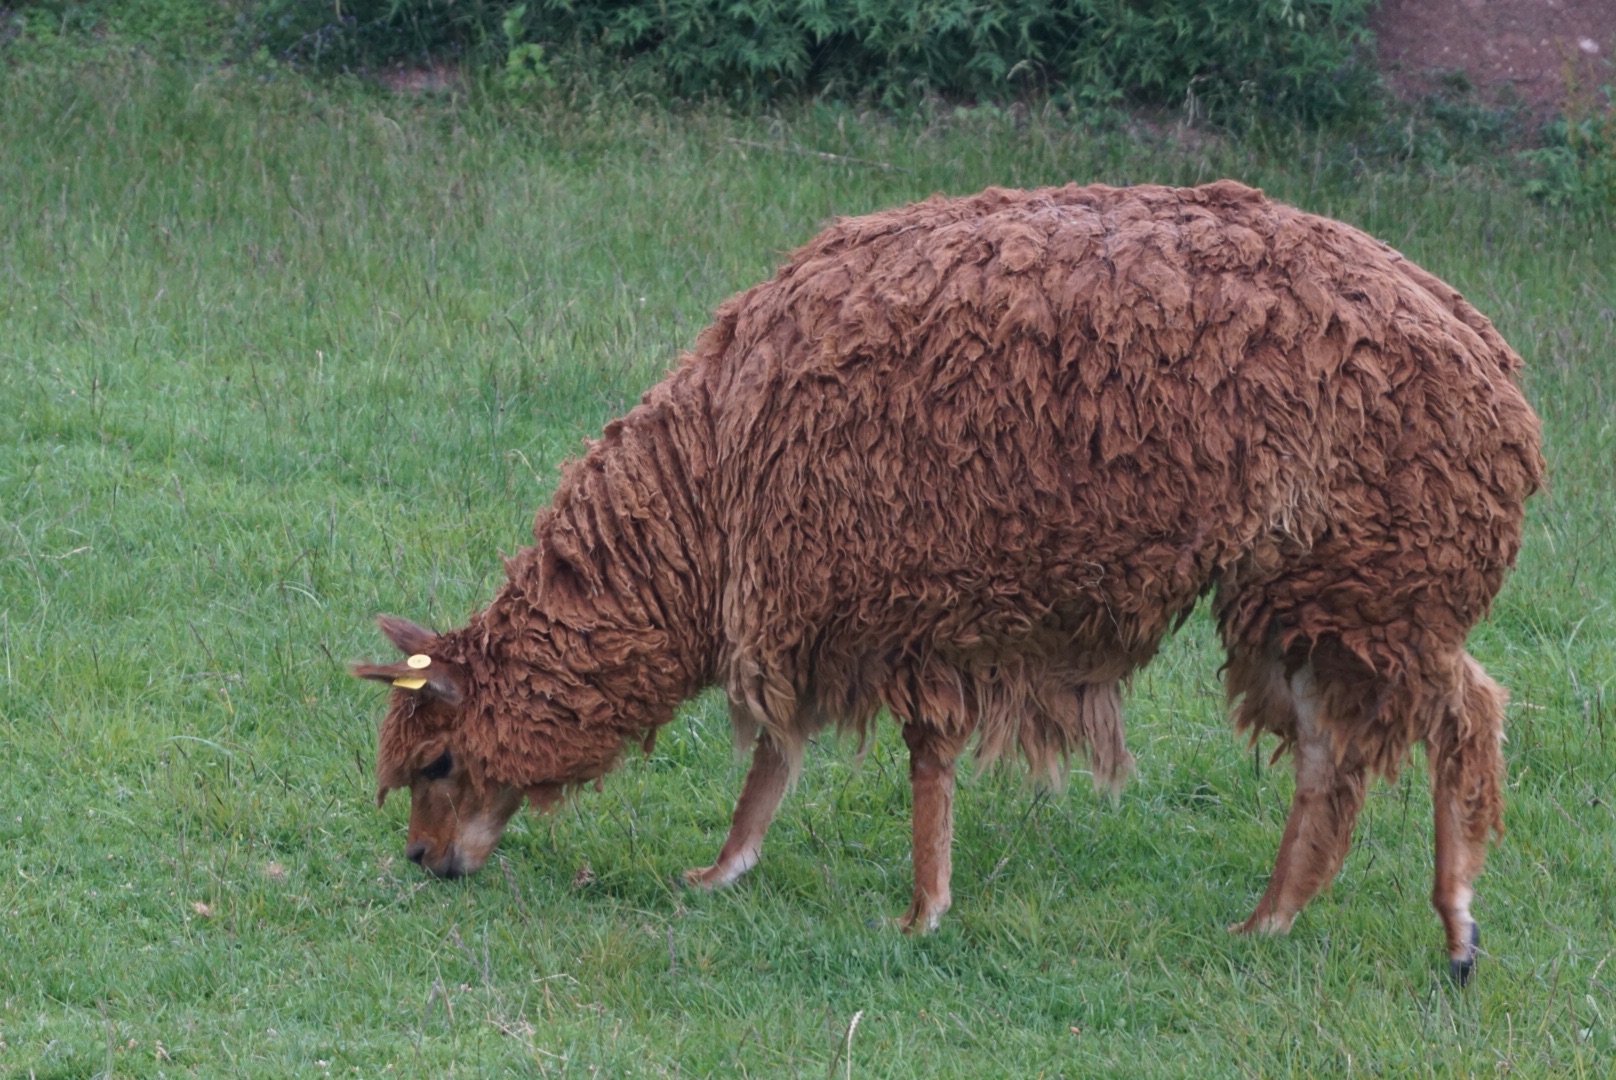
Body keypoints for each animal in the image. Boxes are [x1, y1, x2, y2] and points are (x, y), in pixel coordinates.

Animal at [353, 181, 1538, 982]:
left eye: (440, 762)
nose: (424, 859)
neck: (716, 478)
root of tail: (1494, 364)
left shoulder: (890, 599)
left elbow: (912, 759)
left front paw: (919, 913)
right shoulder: (819, 597)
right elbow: (780, 754)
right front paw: (722, 873)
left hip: (1369, 577)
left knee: (1456, 713)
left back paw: (1451, 929)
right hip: (1321, 592)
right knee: (1341, 754)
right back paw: (1277, 922)